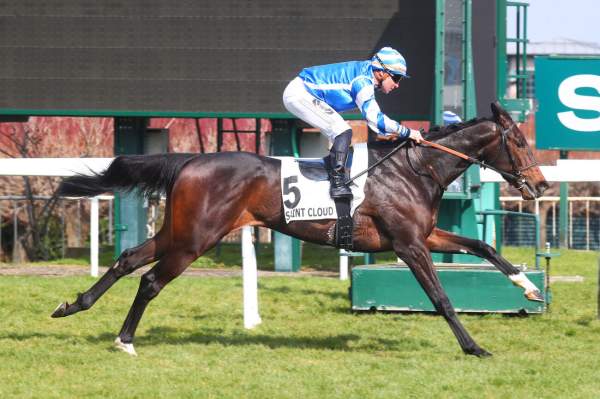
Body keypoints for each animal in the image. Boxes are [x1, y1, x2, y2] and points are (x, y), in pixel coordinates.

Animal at [51, 102, 548, 356]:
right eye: (519, 142)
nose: (541, 185)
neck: (414, 168)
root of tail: (189, 161)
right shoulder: (408, 245)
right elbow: (441, 297)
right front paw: (474, 347)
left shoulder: (425, 235)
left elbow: (483, 246)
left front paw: (529, 288)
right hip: (196, 239)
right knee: (151, 280)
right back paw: (125, 340)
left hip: (179, 231)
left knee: (127, 260)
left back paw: (73, 306)